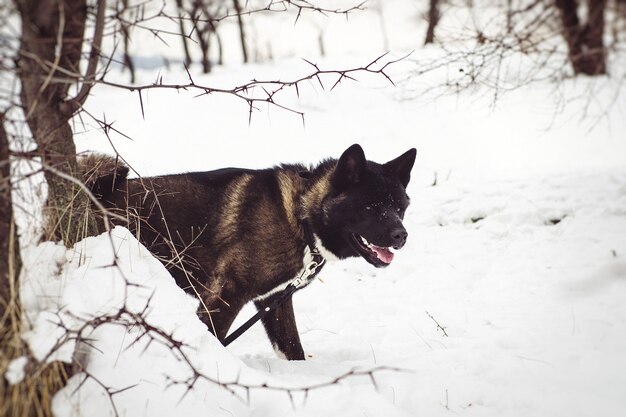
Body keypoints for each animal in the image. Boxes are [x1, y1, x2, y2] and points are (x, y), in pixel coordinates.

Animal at [84, 145, 414, 360]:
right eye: (370, 207)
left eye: (399, 208)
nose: (402, 236)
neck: (300, 217)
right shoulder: (226, 294)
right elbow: (214, 339)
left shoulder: (274, 300)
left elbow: (293, 349)